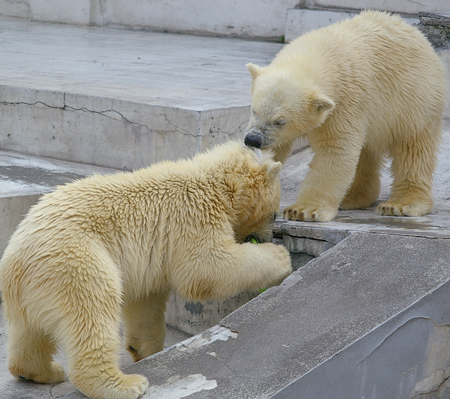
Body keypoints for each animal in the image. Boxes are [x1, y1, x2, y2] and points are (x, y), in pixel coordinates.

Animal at [0, 142, 292, 399]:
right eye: (274, 214)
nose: (269, 237)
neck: (213, 184)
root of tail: (16, 261)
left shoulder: (150, 263)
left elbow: (145, 304)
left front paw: (146, 350)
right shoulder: (192, 217)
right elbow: (206, 268)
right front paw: (281, 259)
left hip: (33, 288)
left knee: (30, 331)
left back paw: (42, 371)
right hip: (75, 261)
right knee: (93, 309)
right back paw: (124, 385)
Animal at [244, 10, 448, 222]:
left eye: (281, 121)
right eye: (254, 110)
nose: (253, 139)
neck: (321, 51)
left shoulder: (344, 103)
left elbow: (335, 150)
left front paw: (303, 210)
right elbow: (279, 149)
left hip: (414, 101)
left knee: (412, 148)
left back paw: (401, 204)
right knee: (366, 152)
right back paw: (352, 197)